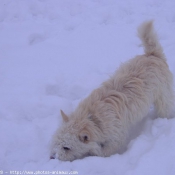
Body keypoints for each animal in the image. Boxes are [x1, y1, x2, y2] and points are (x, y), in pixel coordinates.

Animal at [50, 20, 174, 161]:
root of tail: (153, 55)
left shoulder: (116, 137)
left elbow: (104, 152)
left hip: (163, 98)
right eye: (56, 142)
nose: (52, 157)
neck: (92, 119)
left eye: (66, 148)